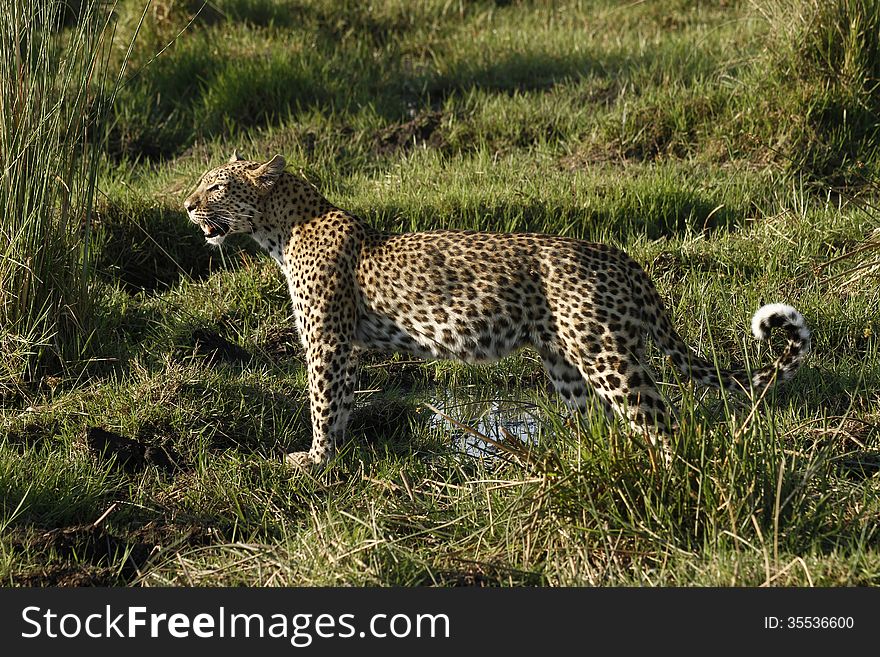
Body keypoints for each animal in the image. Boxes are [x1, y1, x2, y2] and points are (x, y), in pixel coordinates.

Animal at [186, 151, 812, 468]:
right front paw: (330, 458)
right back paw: (575, 460)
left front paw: (314, 461)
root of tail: (624, 259)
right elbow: (337, 405)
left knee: (661, 421)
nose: (187, 206)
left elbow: (322, 402)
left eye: (216, 186)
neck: (281, 230)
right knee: (596, 419)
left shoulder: (328, 343)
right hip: (565, 360)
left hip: (605, 352)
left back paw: (668, 472)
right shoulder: (345, 347)